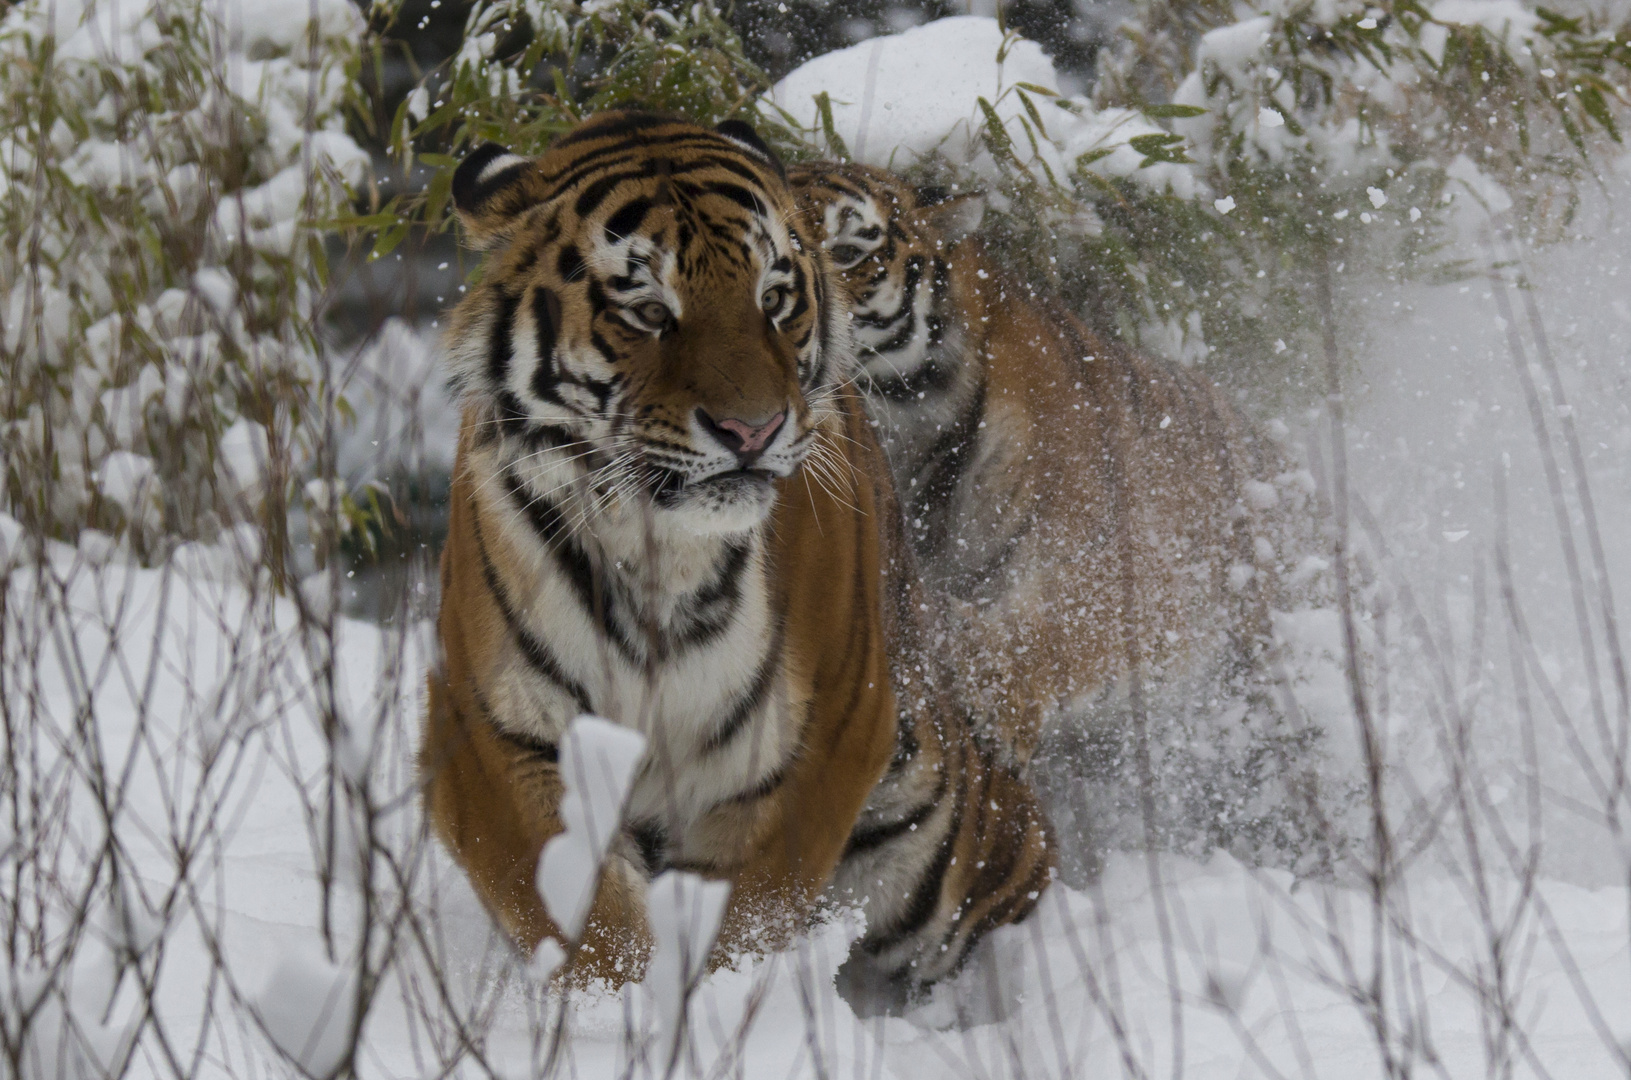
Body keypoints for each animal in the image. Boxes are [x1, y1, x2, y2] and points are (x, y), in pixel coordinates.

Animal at [420, 111, 1050, 998]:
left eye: (774, 300)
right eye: (648, 309)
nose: (751, 431)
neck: (651, 545)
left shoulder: (821, 729)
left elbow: (741, 913)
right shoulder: (486, 727)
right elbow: (578, 914)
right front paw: (620, 1008)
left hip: (944, 833)